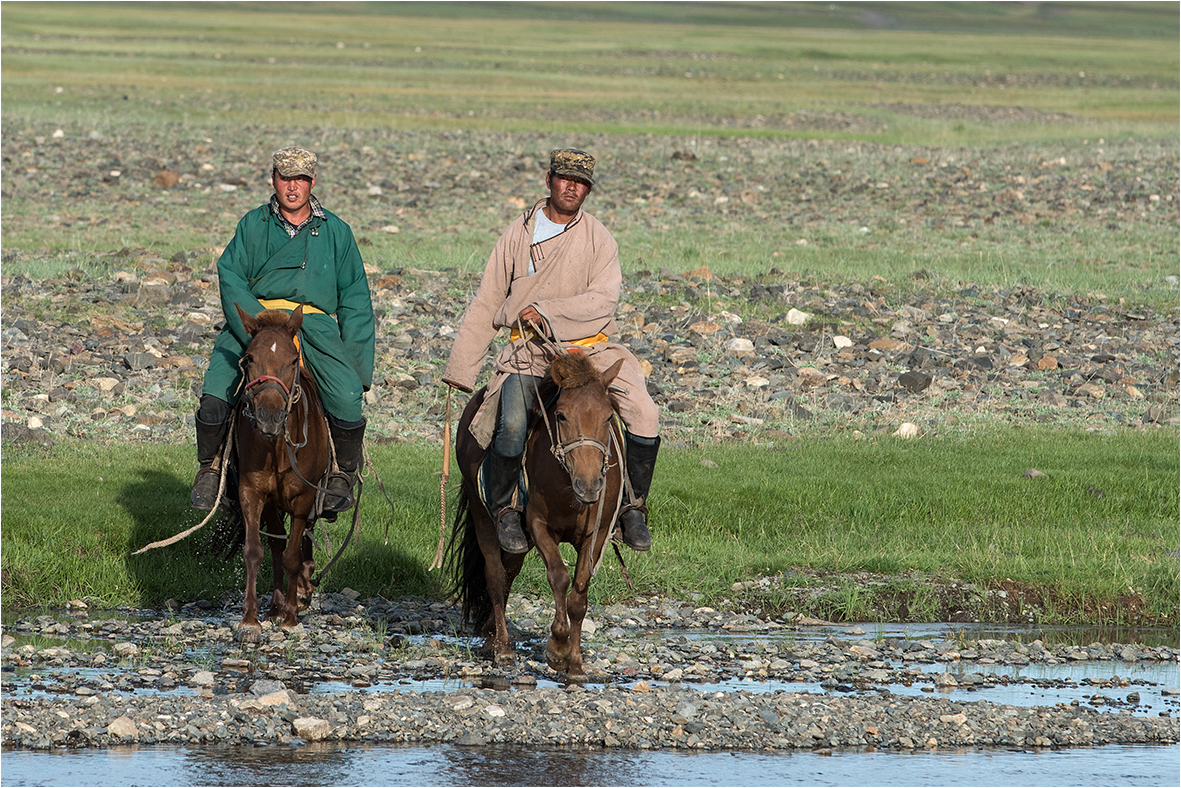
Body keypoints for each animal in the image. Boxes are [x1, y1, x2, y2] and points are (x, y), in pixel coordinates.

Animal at [230, 304, 328, 637]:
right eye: (250, 358)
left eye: (292, 360)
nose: (269, 417)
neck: (276, 448)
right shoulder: (252, 492)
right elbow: (256, 550)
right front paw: (250, 618)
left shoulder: (304, 498)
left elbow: (293, 556)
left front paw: (291, 616)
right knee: (275, 544)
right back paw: (275, 605)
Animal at [444, 352, 628, 680]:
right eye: (562, 415)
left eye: (608, 417)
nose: (590, 485)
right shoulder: (539, 526)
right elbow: (559, 577)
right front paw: (557, 648)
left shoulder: (596, 535)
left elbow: (579, 597)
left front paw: (575, 664)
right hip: (484, 516)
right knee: (495, 576)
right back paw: (503, 648)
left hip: (519, 540)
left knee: (509, 572)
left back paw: (491, 635)